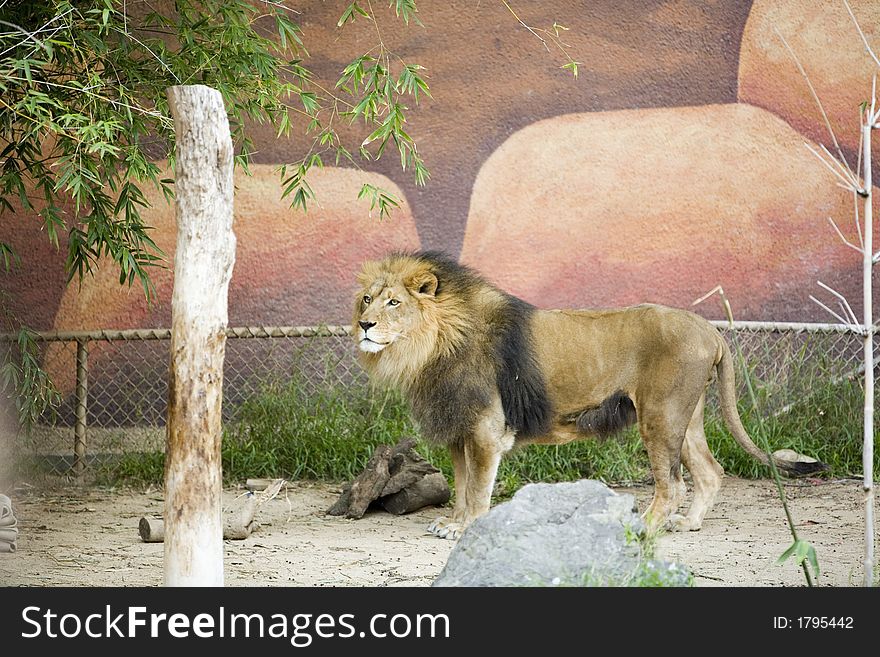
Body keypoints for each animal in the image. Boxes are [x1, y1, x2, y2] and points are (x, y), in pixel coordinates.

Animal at [352, 251, 824, 540]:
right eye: (367, 299)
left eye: (393, 303)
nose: (364, 325)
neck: (430, 347)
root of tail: (709, 328)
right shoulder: (458, 429)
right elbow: (463, 483)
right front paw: (452, 523)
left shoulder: (486, 429)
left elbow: (479, 488)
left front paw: (464, 529)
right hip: (686, 416)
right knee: (710, 471)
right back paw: (687, 524)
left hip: (660, 415)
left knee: (671, 484)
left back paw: (646, 527)